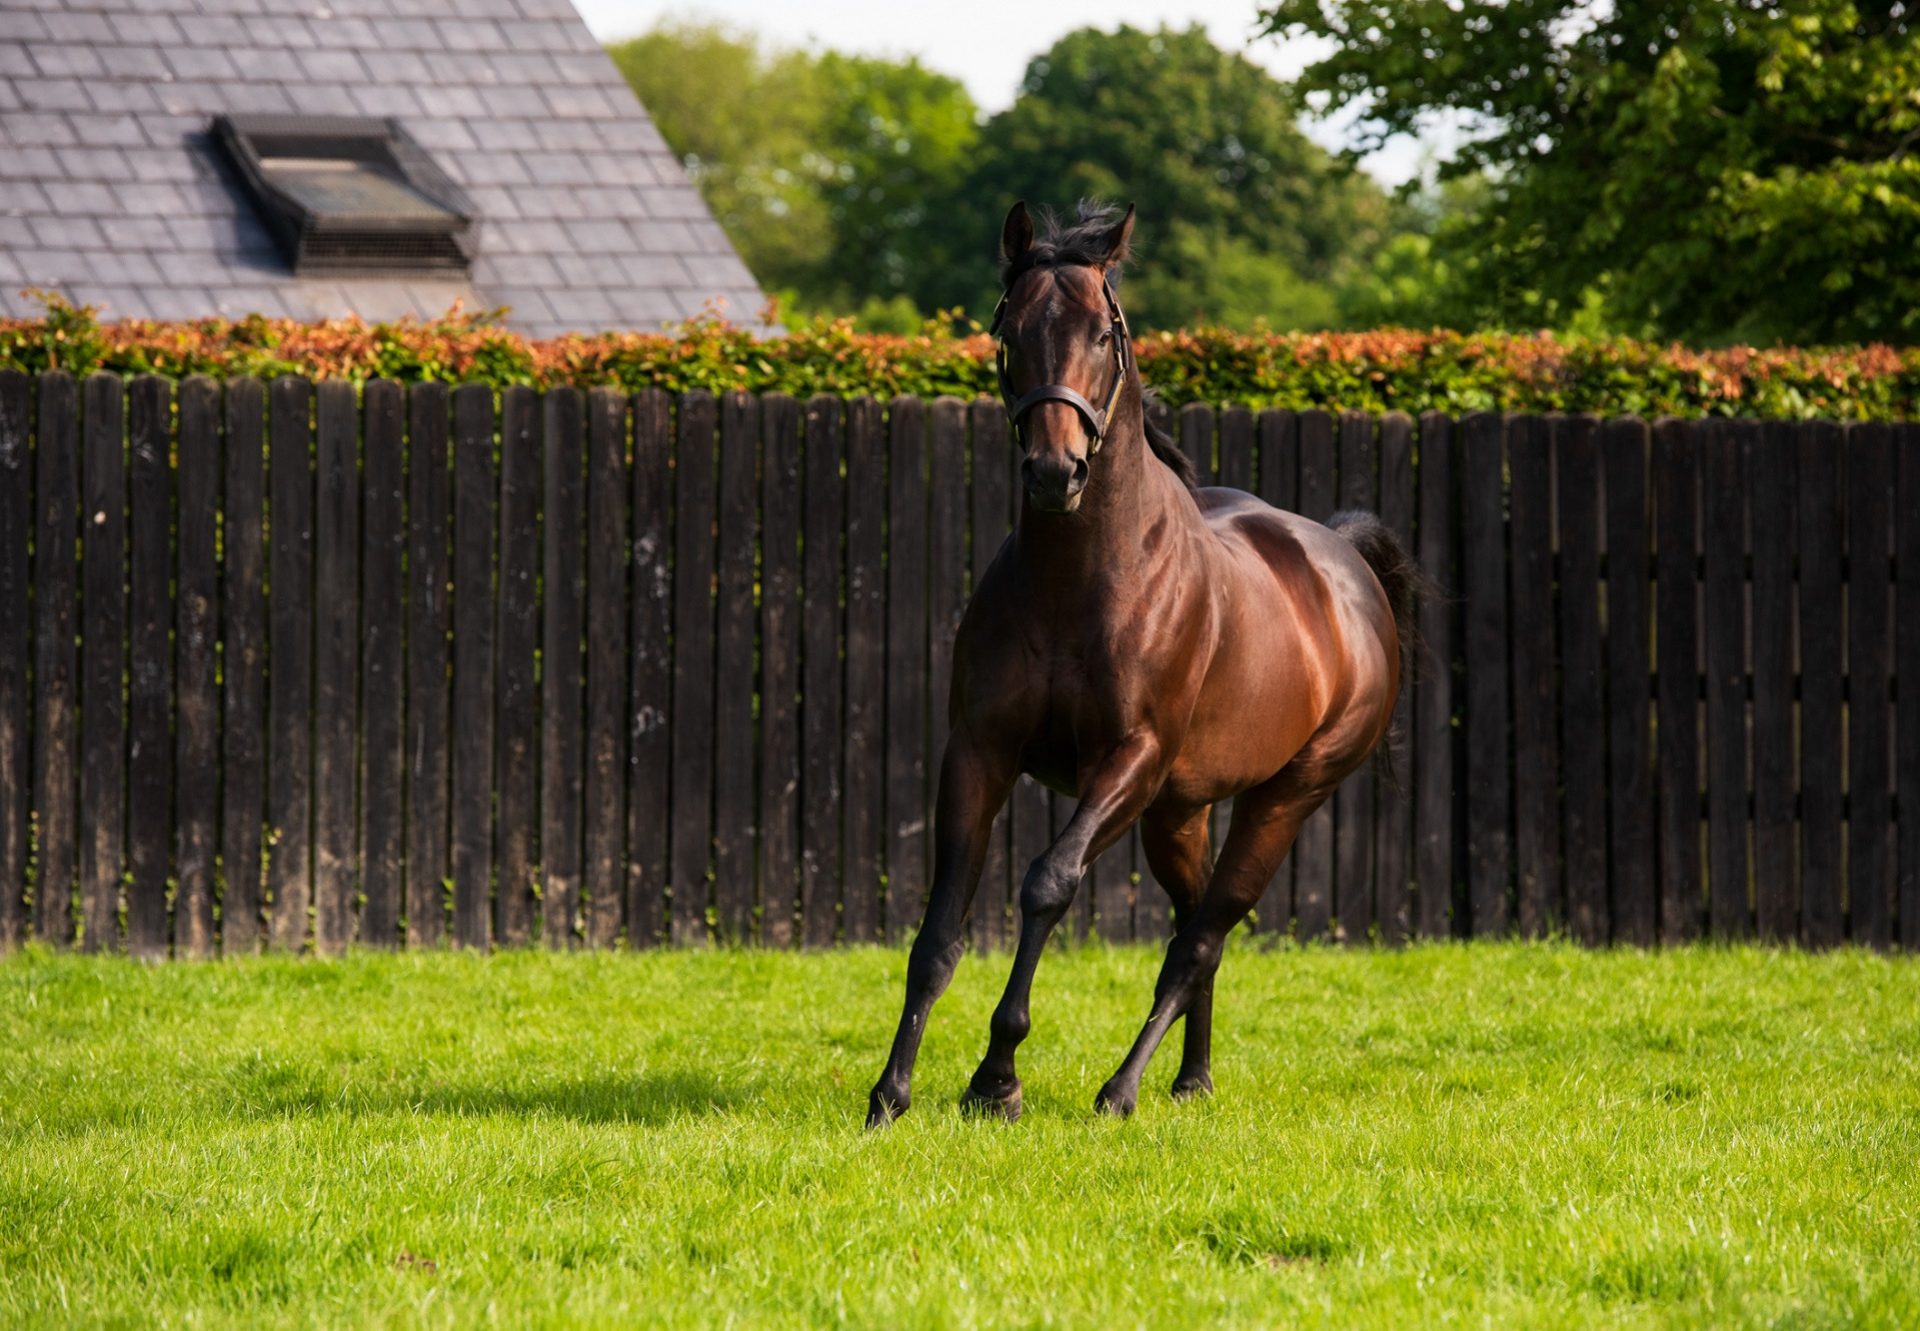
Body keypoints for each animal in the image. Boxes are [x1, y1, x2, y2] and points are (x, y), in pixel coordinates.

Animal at [864, 205, 1420, 1121]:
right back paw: (1191, 1079)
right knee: (1193, 924)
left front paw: (996, 1078)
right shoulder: (979, 750)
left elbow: (1048, 882)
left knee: (1204, 936)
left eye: (1103, 332)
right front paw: (891, 1092)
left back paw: (1122, 1089)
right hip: (1178, 811)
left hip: (1282, 799)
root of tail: (1346, 560)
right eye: (1011, 330)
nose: (1055, 471)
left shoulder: (1128, 758)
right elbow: (942, 922)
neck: (1079, 578)